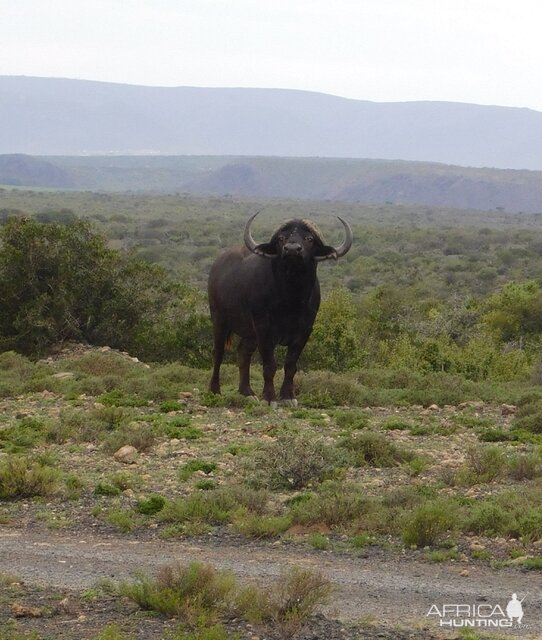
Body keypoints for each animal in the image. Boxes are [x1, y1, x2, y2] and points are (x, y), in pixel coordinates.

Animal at [207, 214, 352, 404]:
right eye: (281, 238)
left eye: (309, 239)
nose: (292, 249)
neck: (290, 299)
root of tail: (216, 268)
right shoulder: (263, 329)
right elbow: (270, 365)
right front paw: (269, 397)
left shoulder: (304, 331)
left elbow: (290, 365)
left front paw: (288, 396)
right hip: (219, 319)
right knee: (218, 352)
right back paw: (214, 390)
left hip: (250, 333)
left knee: (243, 352)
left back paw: (247, 391)